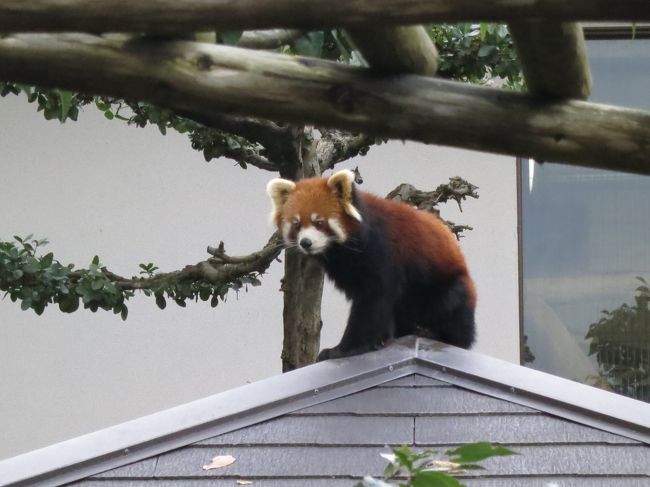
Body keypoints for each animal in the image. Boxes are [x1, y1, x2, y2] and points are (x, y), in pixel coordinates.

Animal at [266, 170, 474, 360]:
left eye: (319, 222)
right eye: (297, 224)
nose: (306, 243)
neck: (342, 251)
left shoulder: (381, 252)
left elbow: (373, 300)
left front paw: (344, 349)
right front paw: (379, 339)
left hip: (448, 287)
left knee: (451, 308)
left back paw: (437, 334)